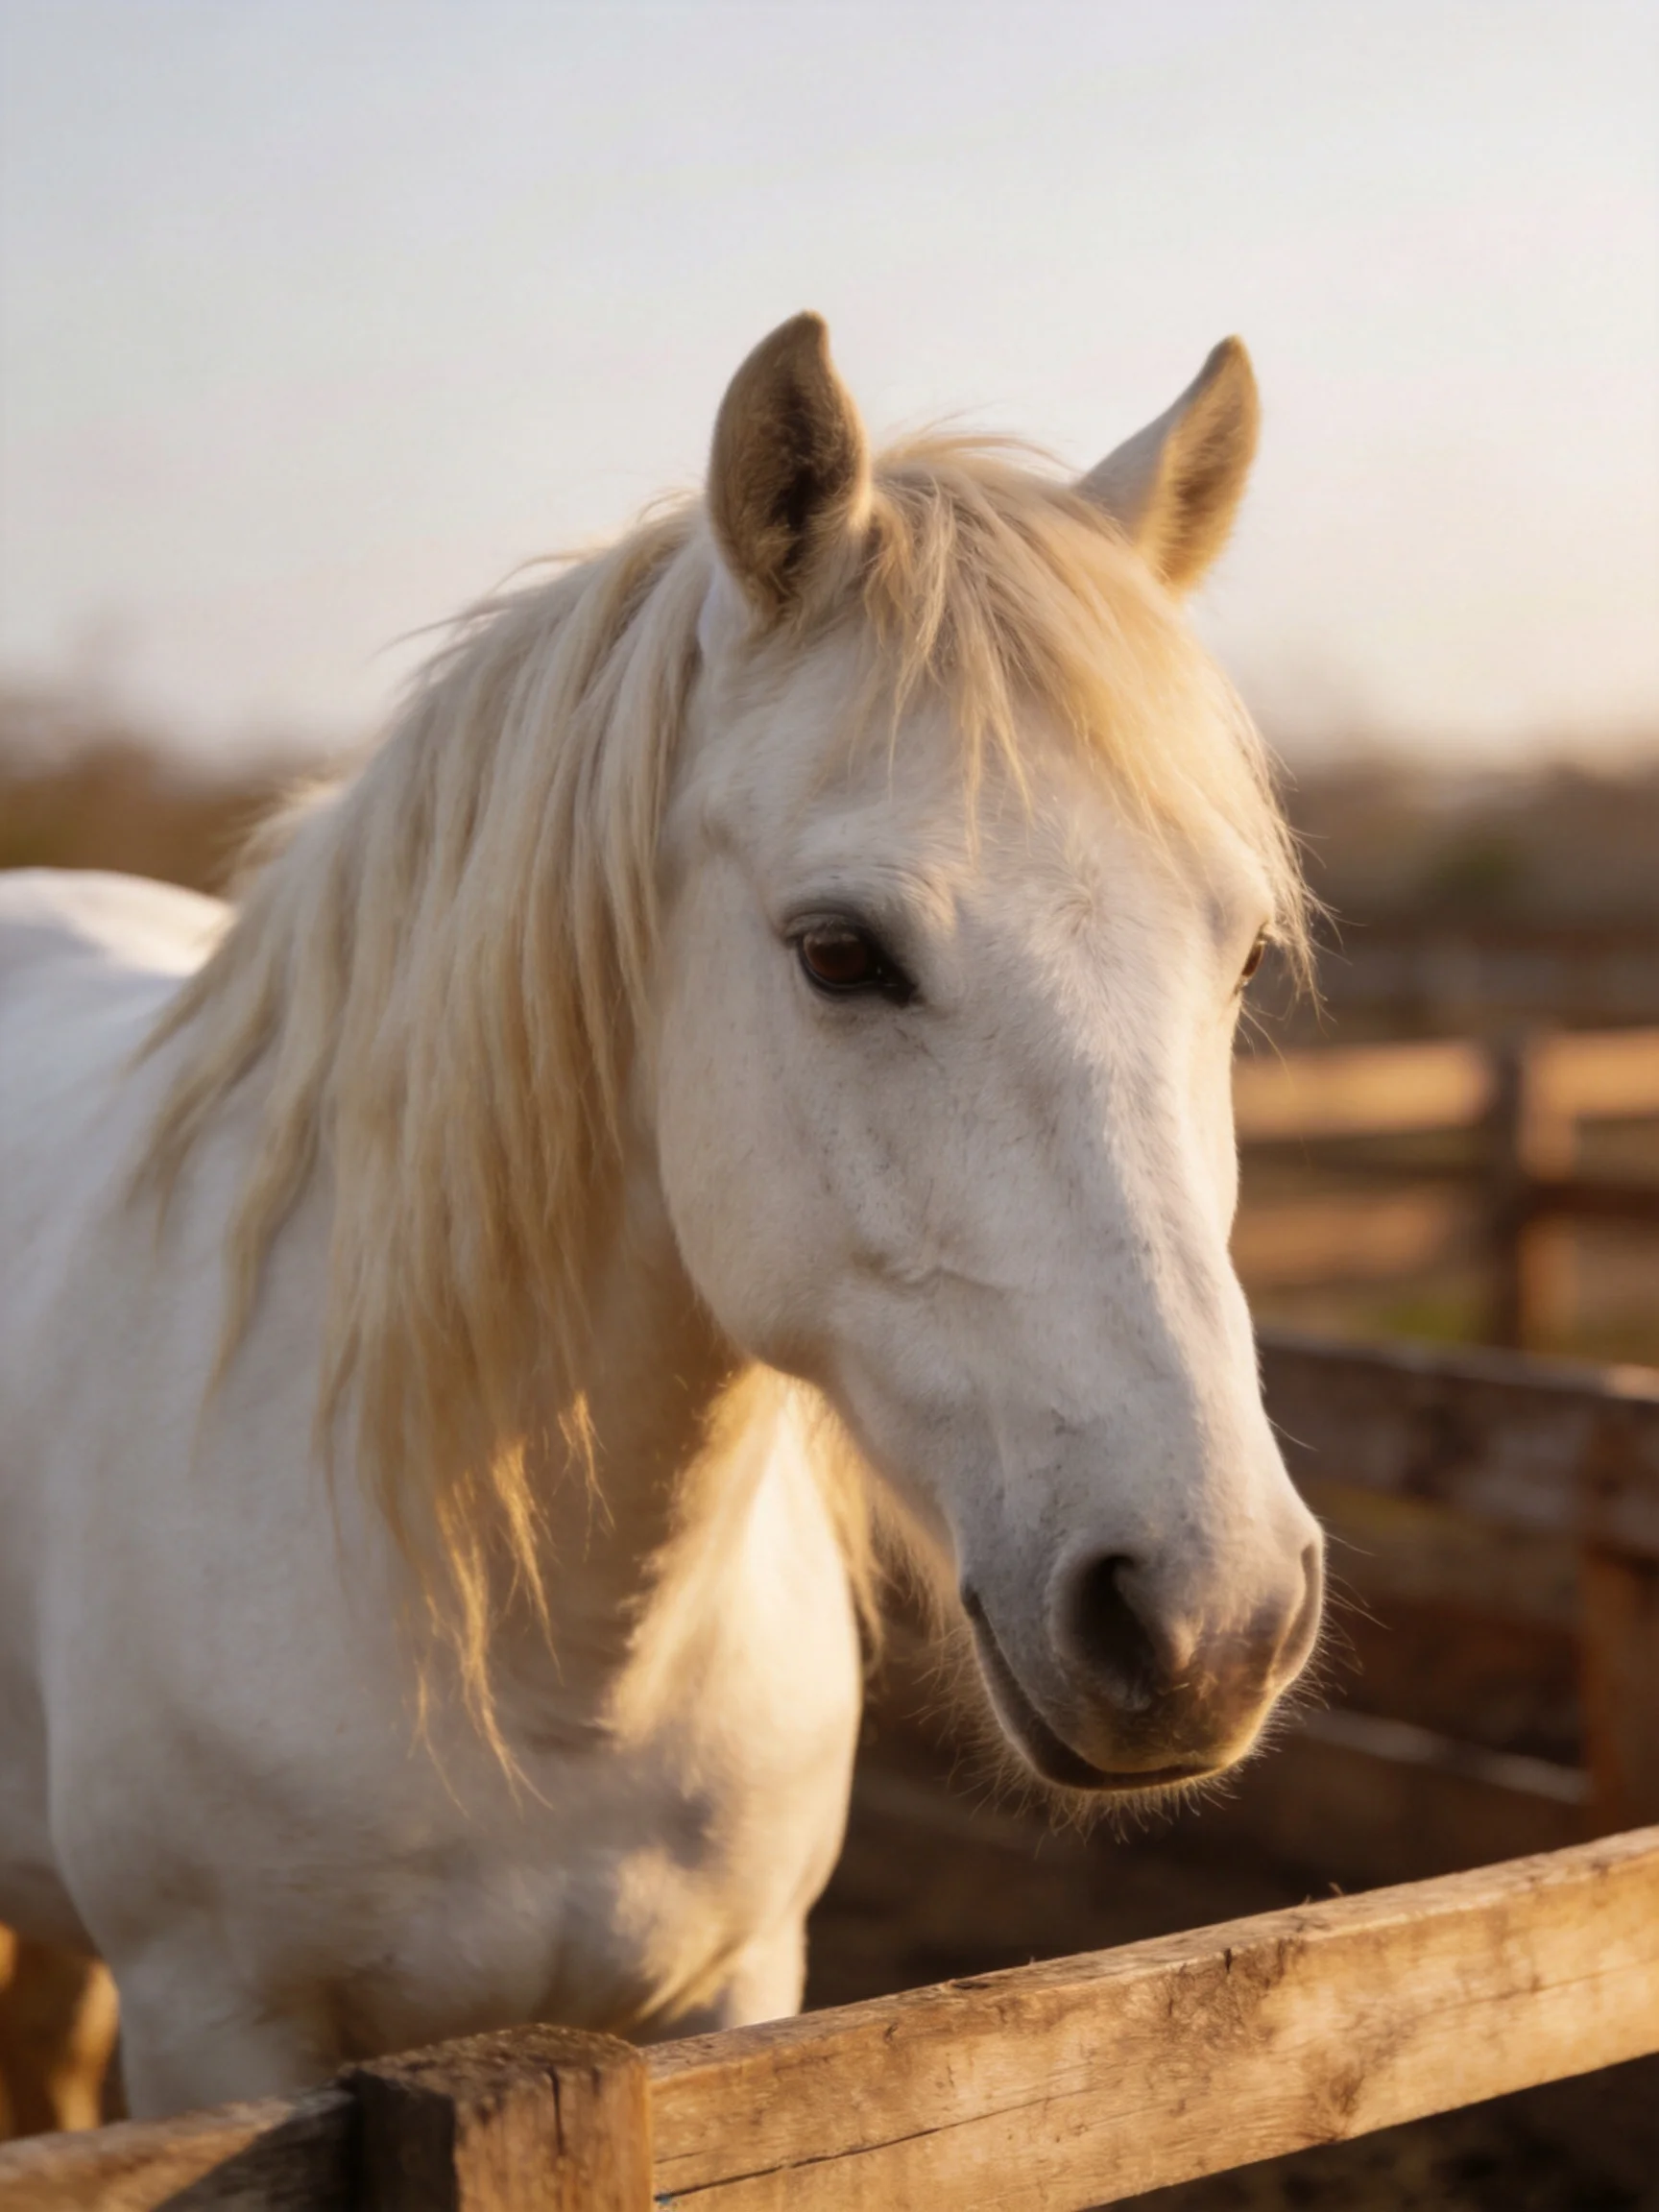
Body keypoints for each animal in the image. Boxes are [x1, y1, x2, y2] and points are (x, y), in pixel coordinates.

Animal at [0, 314, 1324, 2120]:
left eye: (1243, 954)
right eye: (838, 951)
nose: (1211, 1616)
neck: (546, 1667)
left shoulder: (736, 2002)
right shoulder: (219, 2031)